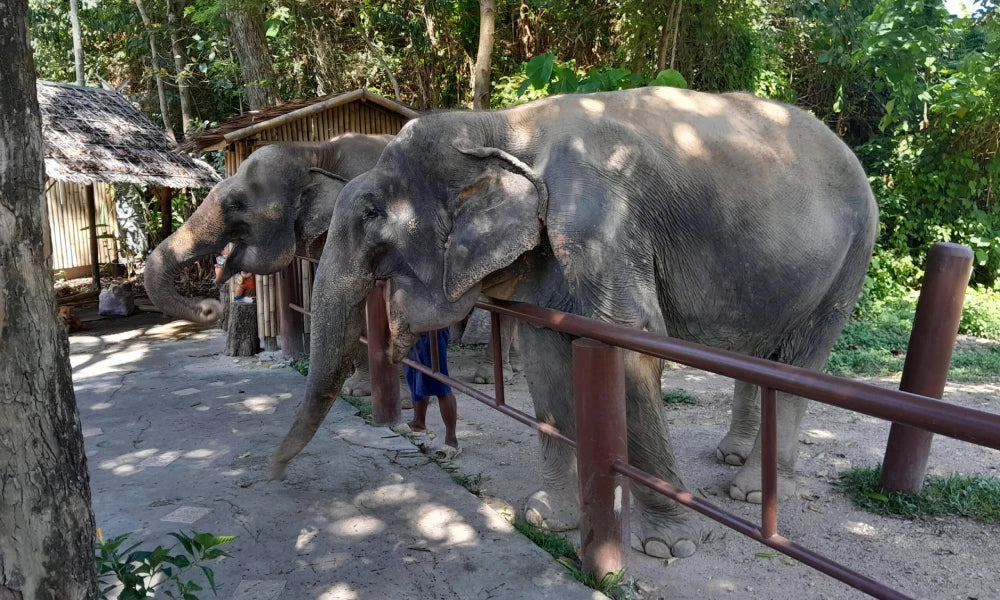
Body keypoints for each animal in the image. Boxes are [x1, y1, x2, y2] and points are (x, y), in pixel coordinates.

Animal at [268, 87, 878, 559]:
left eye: (372, 214)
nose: (269, 475)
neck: (501, 125)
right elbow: (544, 356)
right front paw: (546, 519)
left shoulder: (598, 216)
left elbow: (634, 341)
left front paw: (667, 548)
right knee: (757, 354)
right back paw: (733, 460)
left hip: (852, 257)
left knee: (800, 362)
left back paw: (750, 495)